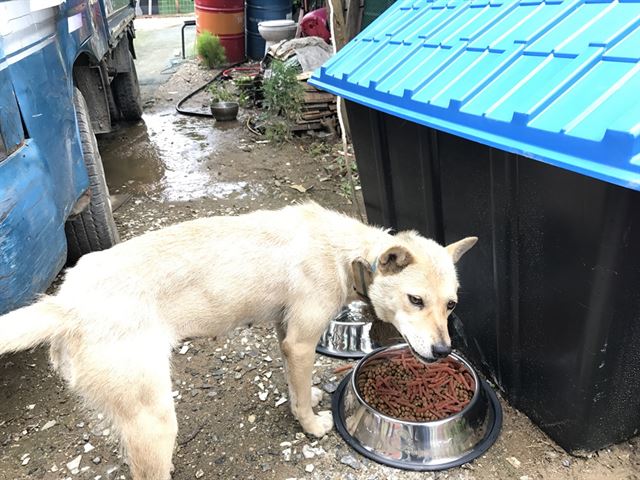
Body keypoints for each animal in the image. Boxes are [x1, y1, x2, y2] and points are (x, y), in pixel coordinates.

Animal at [0, 202, 470, 480]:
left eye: (450, 304)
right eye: (415, 300)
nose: (443, 351)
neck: (349, 254)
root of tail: (67, 304)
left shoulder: (286, 336)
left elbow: (295, 387)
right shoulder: (301, 342)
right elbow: (301, 400)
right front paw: (312, 425)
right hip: (154, 419)